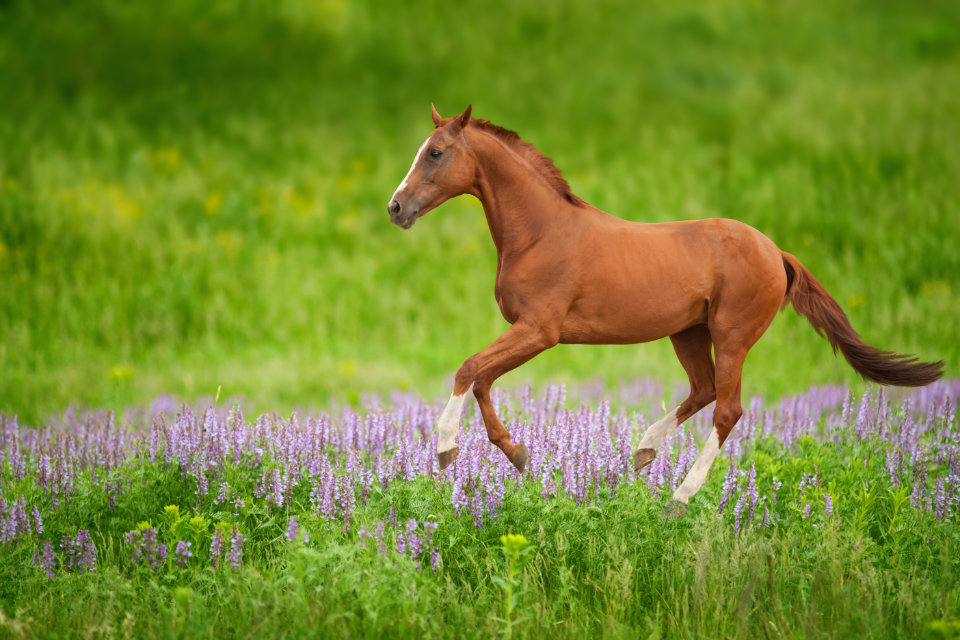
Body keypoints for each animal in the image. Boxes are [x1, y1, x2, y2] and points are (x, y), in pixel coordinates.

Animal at [388, 104, 944, 516]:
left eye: (435, 152)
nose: (396, 208)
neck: (541, 233)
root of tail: (776, 253)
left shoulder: (540, 331)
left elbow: (468, 370)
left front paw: (445, 450)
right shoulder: (528, 333)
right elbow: (483, 379)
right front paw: (520, 455)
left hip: (732, 335)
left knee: (727, 408)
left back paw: (679, 496)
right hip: (689, 333)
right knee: (703, 390)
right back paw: (643, 450)